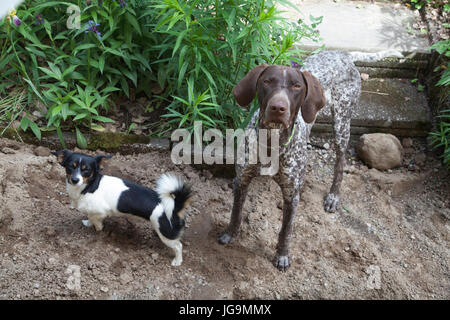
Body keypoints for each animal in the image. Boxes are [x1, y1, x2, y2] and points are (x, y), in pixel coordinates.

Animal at [51, 149, 192, 266]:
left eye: (87, 170)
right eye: (70, 167)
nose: (75, 180)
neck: (90, 186)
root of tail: (176, 206)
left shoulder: (100, 212)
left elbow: (97, 222)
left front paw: (97, 230)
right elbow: (90, 217)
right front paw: (88, 223)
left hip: (167, 234)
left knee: (178, 246)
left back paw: (177, 261)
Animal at [216, 49, 402, 270]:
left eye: (296, 86)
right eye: (267, 82)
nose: (278, 107)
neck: (272, 143)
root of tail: (342, 53)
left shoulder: (292, 195)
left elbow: (286, 230)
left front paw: (282, 255)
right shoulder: (241, 180)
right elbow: (236, 213)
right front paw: (229, 234)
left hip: (342, 123)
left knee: (340, 163)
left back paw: (333, 196)